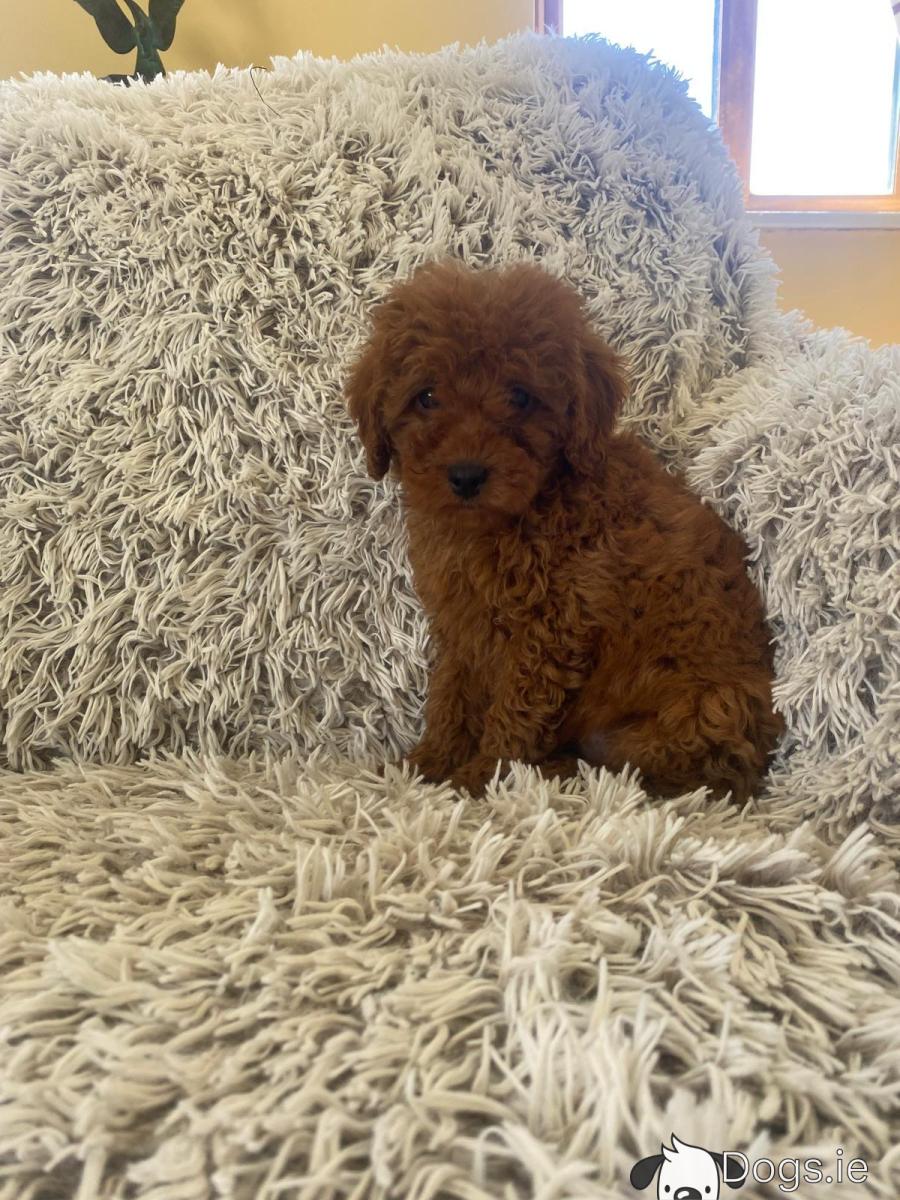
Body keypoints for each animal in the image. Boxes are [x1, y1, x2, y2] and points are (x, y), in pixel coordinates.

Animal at [346, 260, 782, 799]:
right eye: (426, 397)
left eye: (520, 396)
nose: (466, 475)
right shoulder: (461, 625)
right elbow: (451, 696)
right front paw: (428, 763)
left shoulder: (551, 628)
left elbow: (515, 712)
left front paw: (483, 777)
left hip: (700, 712)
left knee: (649, 773)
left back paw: (551, 769)